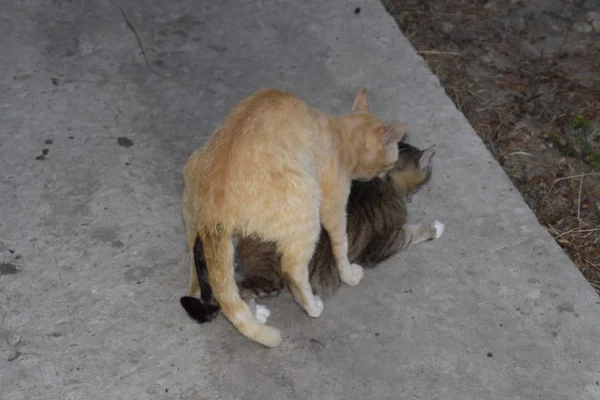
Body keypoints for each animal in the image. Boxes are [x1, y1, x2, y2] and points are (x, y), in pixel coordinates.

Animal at [180, 87, 406, 346]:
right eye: (393, 157)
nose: (387, 173)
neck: (339, 134)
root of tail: (214, 209)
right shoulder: (333, 207)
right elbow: (341, 246)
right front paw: (349, 274)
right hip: (308, 204)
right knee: (292, 270)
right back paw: (311, 306)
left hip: (192, 201)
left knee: (199, 268)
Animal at [180, 141, 442, 324]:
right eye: (428, 172)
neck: (383, 181)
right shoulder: (384, 243)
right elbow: (411, 233)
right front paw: (435, 228)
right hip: (271, 274)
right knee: (241, 291)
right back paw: (257, 314)